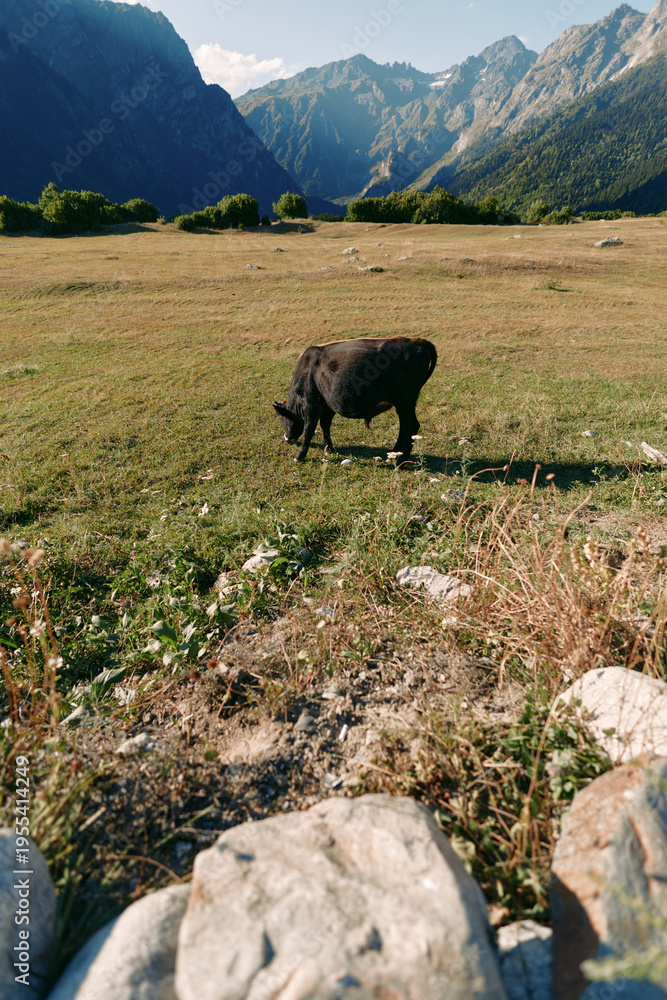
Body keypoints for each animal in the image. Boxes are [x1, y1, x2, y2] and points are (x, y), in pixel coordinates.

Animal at [273, 336, 437, 462]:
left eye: (282, 419)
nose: (287, 438)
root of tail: (417, 341)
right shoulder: (327, 405)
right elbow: (325, 426)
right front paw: (329, 448)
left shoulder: (311, 406)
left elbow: (308, 430)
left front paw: (299, 456)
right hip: (403, 404)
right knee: (404, 426)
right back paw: (394, 452)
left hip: (405, 401)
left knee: (411, 427)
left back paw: (401, 461)